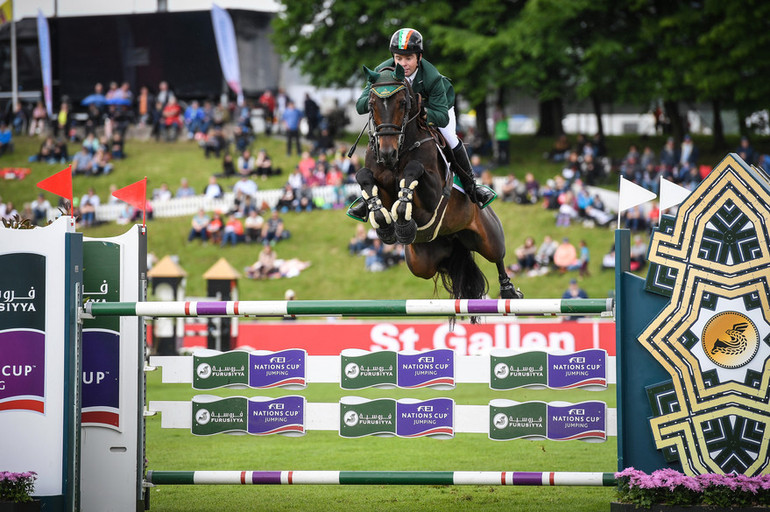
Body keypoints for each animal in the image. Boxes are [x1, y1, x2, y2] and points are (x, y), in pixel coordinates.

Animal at [352, 64, 520, 304]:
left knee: (497, 255)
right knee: (443, 266)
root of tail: (453, 236)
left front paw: (402, 213)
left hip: (488, 236)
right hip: (420, 263)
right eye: (372, 104)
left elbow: (414, 171)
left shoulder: (433, 195)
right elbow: (364, 176)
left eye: (402, 103)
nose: (386, 154)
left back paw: (508, 291)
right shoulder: (381, 186)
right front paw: (387, 226)